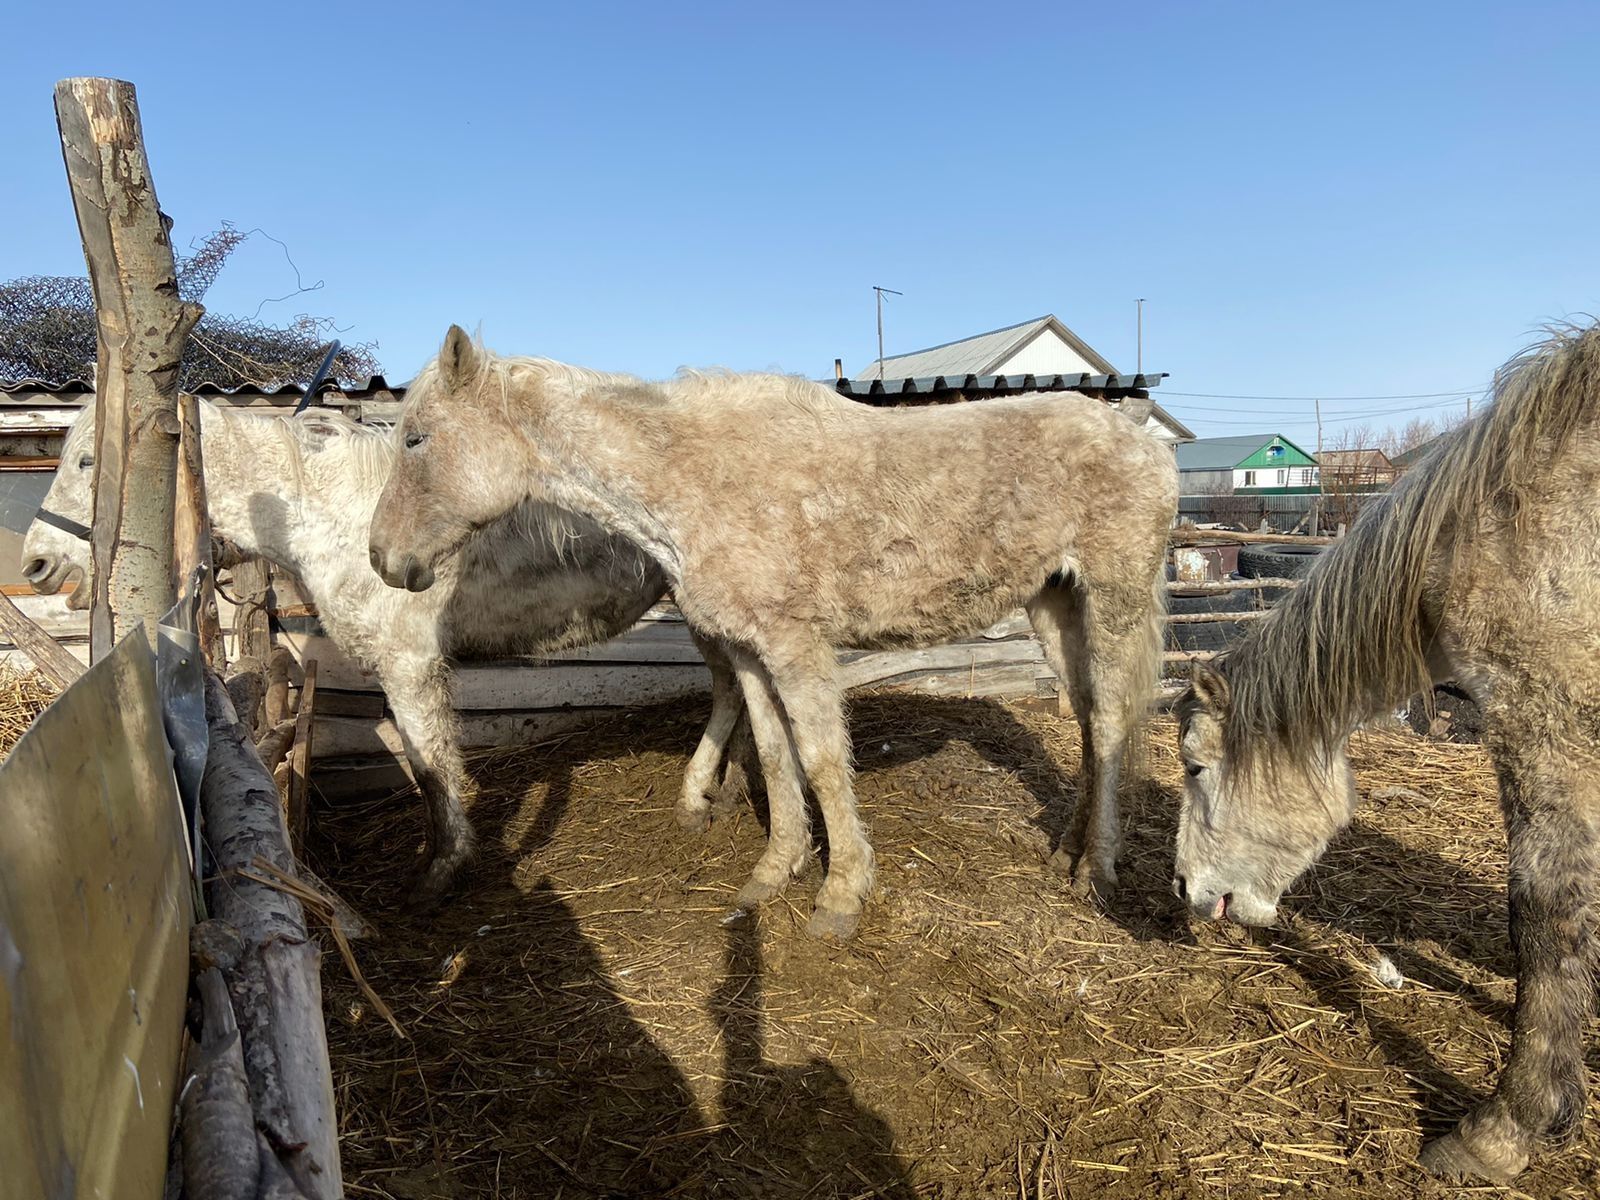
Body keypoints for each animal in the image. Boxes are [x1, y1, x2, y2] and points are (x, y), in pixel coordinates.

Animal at [21, 400, 748, 908]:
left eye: (86, 462)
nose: (36, 564)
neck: (335, 513)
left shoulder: (410, 665)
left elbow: (429, 767)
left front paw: (439, 874)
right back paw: (722, 791)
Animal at [371, 326, 1177, 940]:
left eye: (415, 439)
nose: (383, 559)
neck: (695, 479)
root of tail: (1144, 443)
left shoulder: (795, 646)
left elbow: (820, 759)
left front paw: (841, 893)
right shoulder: (750, 651)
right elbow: (772, 750)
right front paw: (774, 870)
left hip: (1111, 600)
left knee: (1110, 720)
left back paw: (1097, 870)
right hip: (1054, 605)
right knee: (1087, 723)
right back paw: (1066, 851)